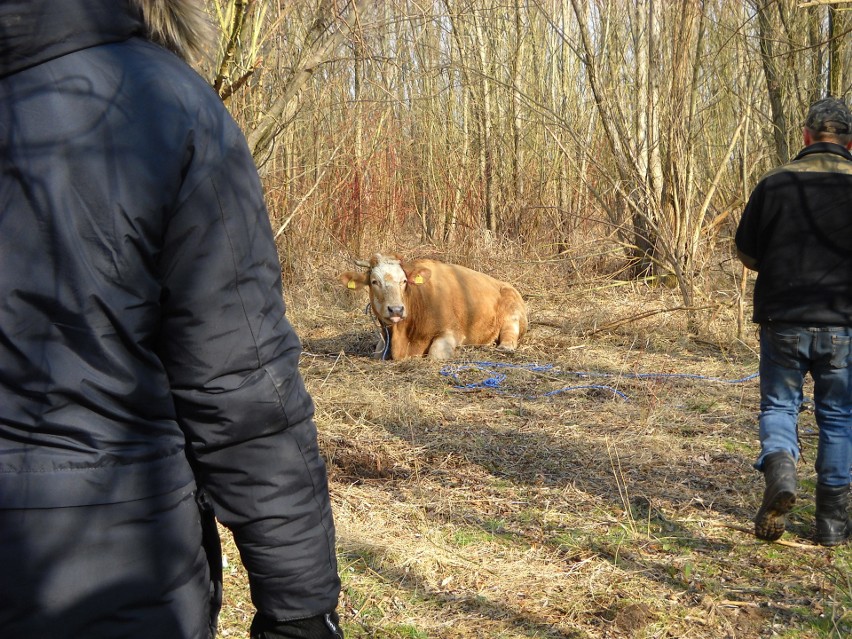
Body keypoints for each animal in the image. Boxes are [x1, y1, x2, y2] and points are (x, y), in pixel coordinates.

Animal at [338, 252, 524, 360]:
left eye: (404, 281)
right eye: (374, 281)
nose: (396, 309)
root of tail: (505, 284)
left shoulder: (452, 332)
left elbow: (435, 354)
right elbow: (378, 351)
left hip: (513, 314)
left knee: (509, 332)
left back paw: (505, 347)